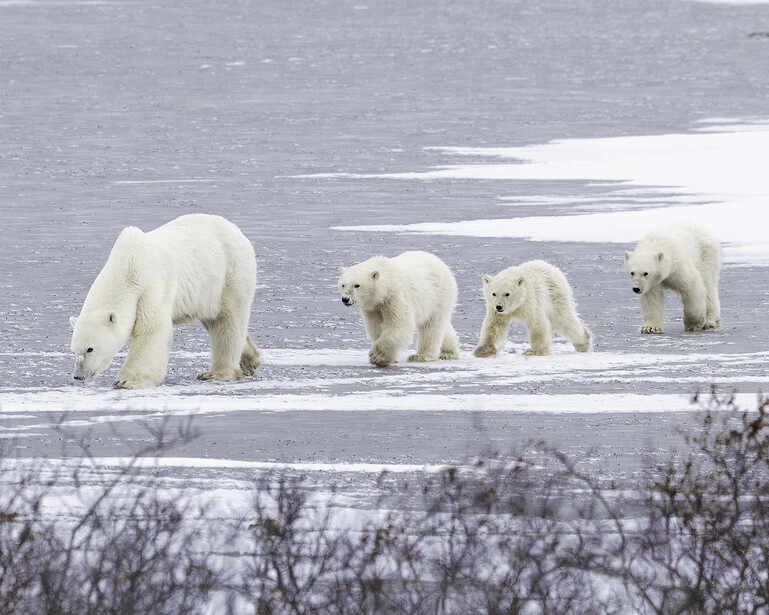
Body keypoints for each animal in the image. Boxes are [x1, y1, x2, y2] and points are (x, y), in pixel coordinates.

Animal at [69, 213, 261, 389]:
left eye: (90, 349)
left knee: (227, 320)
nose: (78, 376)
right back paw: (250, 361)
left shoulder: (151, 287)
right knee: (215, 320)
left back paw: (216, 373)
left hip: (229, 276)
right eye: (73, 351)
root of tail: (237, 231)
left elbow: (151, 331)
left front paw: (126, 381)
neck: (127, 267)